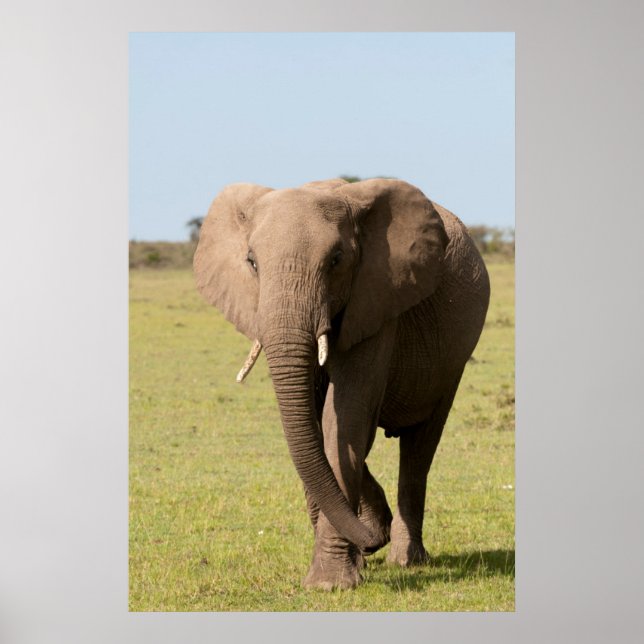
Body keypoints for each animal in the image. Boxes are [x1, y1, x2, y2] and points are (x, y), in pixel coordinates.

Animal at [194, 178, 490, 589]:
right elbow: (319, 426)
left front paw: (330, 583)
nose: (370, 542)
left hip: (452, 360)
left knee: (420, 446)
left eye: (335, 260)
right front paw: (359, 552)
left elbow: (345, 419)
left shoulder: (378, 299)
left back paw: (405, 559)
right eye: (251, 262)